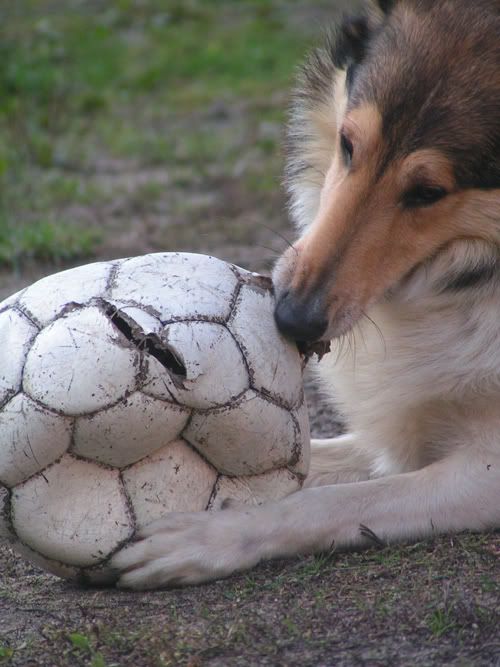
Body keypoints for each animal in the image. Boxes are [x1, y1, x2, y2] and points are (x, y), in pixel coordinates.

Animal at [112, 0, 500, 589]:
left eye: (429, 192)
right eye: (347, 144)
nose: (291, 319)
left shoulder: (485, 468)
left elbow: (329, 503)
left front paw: (209, 536)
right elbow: (302, 465)